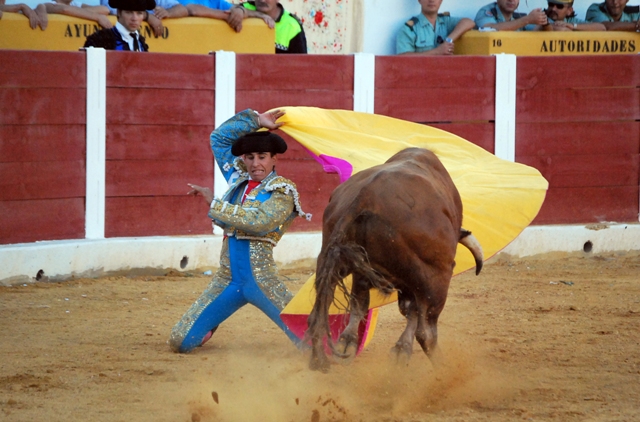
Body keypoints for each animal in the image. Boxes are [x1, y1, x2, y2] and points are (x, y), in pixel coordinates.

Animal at [308, 148, 482, 372]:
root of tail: (365, 197)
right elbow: (413, 311)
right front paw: (402, 350)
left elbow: (366, 305)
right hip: (437, 278)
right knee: (426, 331)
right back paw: (446, 371)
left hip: (332, 261)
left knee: (320, 312)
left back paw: (322, 360)